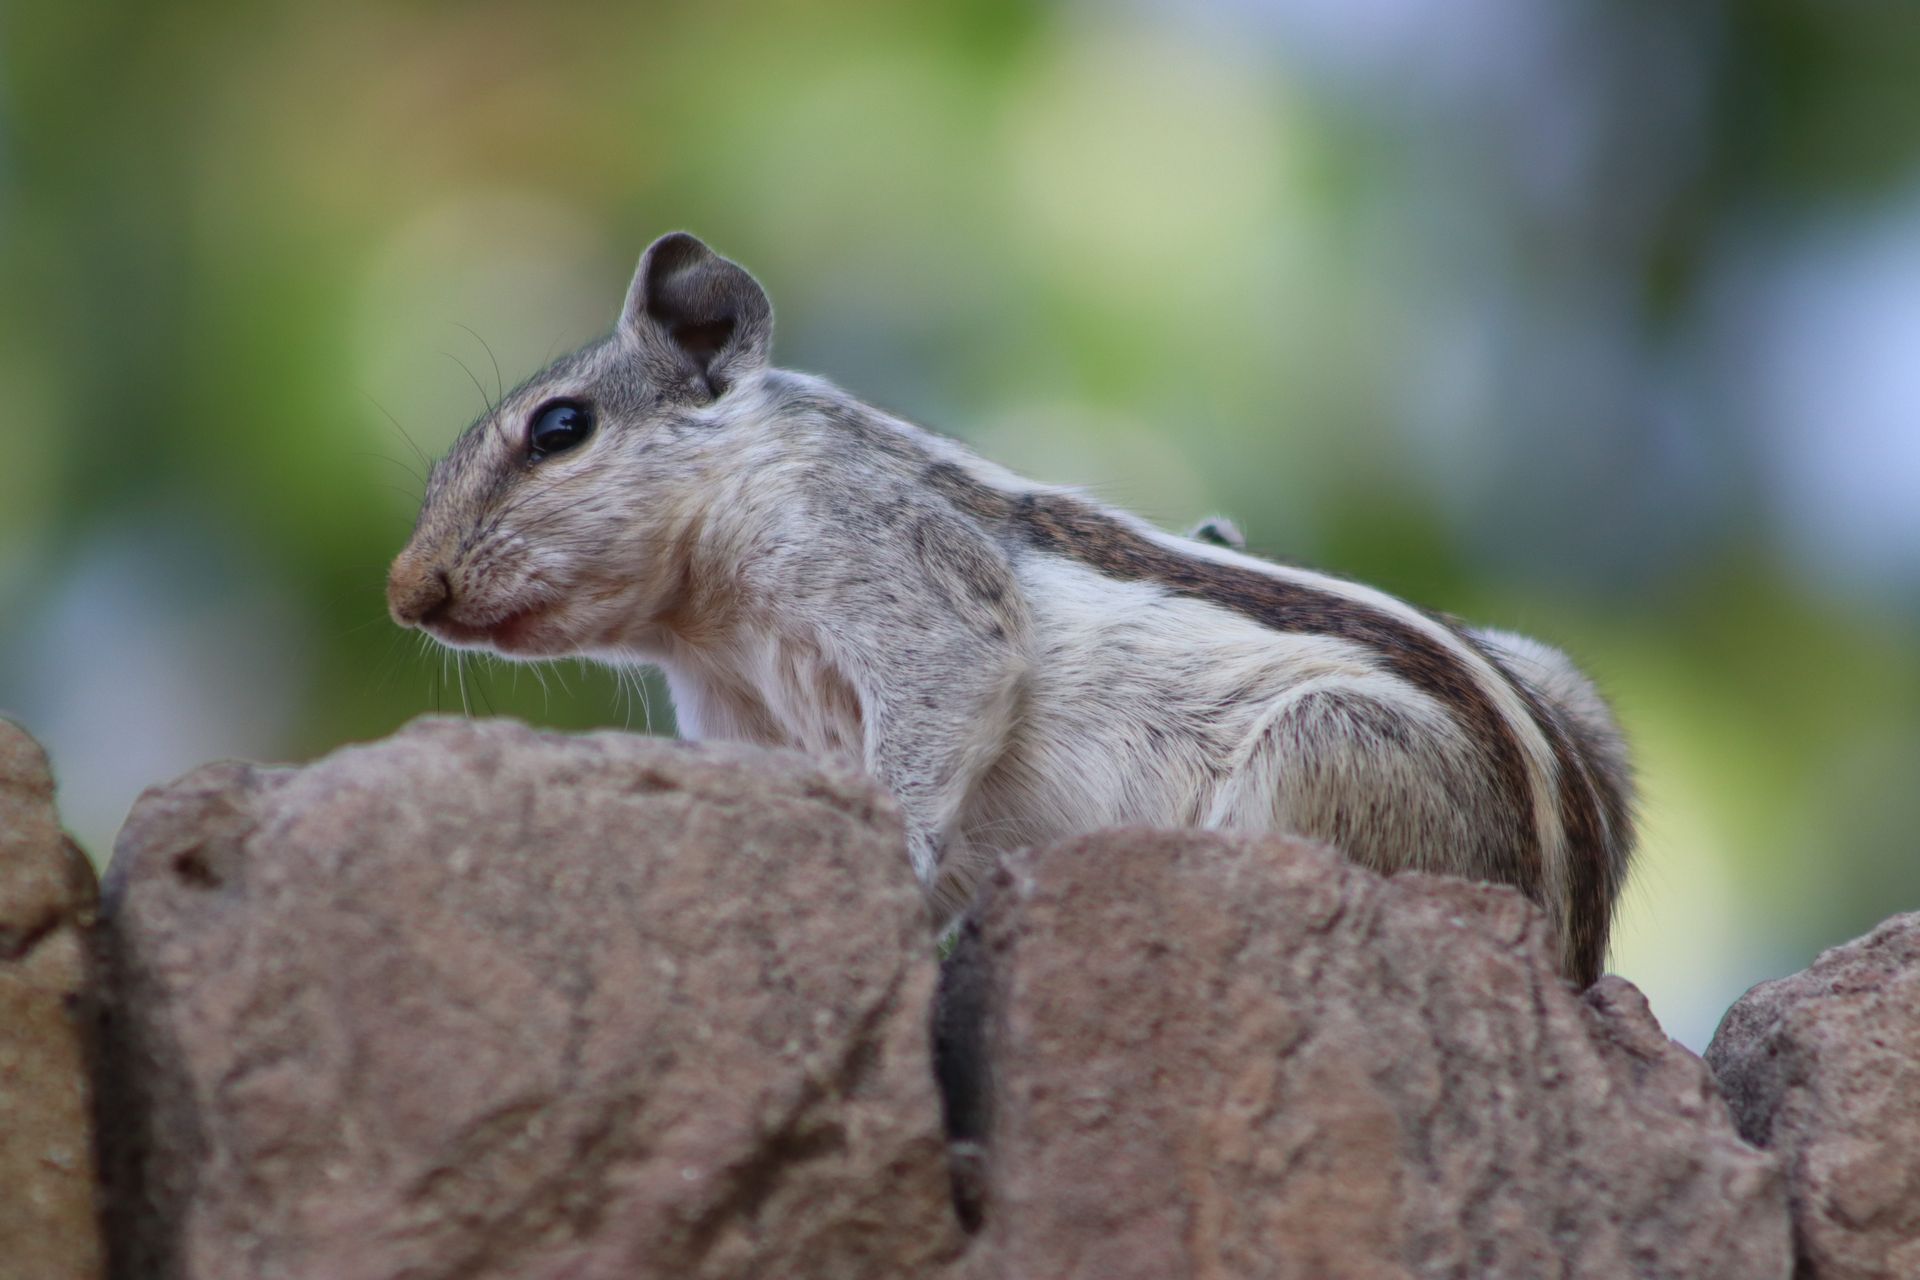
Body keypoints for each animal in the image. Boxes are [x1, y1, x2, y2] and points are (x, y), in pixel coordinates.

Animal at [387, 232, 1635, 987]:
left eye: (560, 428)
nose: (407, 589)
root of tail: (1572, 936)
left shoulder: (891, 569)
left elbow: (938, 710)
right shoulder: (741, 718)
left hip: (1322, 757)